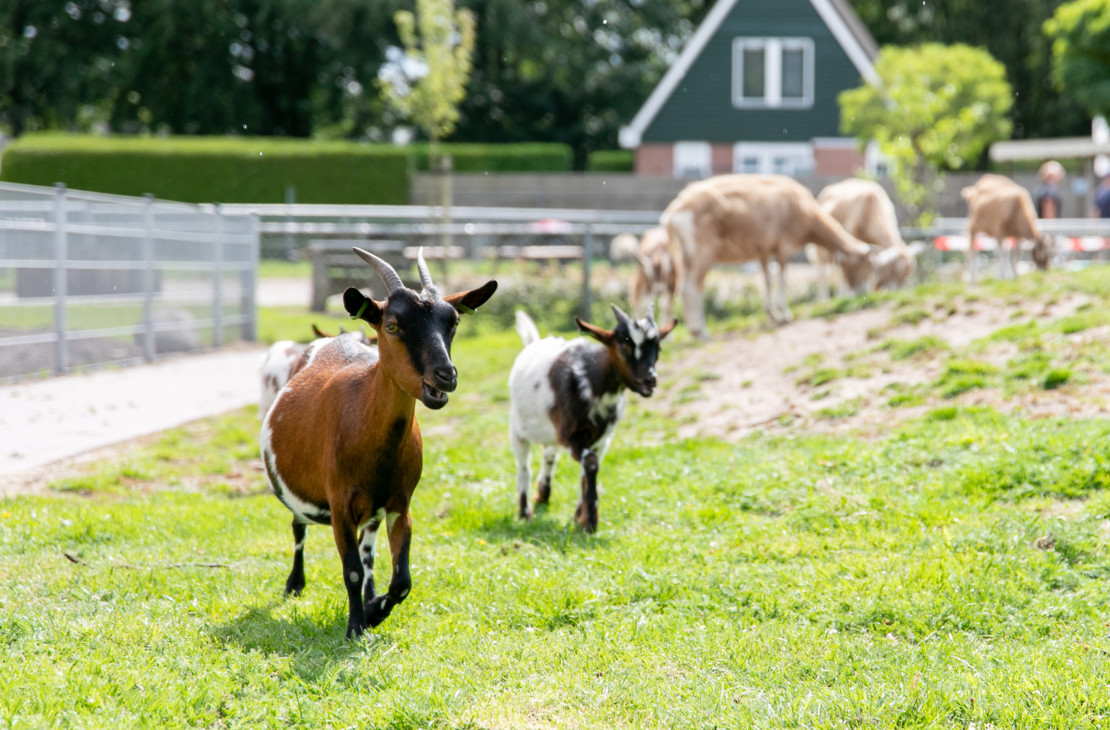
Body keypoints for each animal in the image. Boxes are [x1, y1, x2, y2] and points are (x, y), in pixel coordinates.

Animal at [259, 247, 495, 634]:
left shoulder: (400, 503)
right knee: (298, 525)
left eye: (454, 323)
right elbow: (351, 570)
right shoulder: (340, 503)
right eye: (393, 326)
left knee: (368, 549)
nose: (445, 375)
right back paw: (295, 584)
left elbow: (401, 580)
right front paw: (356, 626)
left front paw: (374, 611)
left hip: (372, 508)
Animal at [508, 301, 674, 528]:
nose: (650, 380)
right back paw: (525, 513)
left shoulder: (602, 440)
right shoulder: (571, 436)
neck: (591, 383)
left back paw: (543, 494)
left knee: (549, 455)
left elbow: (585, 473)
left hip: (551, 430)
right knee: (523, 467)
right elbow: (591, 464)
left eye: (658, 347)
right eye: (624, 344)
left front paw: (580, 516)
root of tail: (534, 343)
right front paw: (590, 520)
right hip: (518, 431)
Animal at [657, 173, 874, 332]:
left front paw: (772, 314)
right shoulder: (784, 247)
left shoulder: (764, 251)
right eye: (865, 266)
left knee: (683, 288)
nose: (862, 294)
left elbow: (768, 279)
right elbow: (782, 277)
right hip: (701, 253)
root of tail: (671, 216)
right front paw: (785, 314)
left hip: (684, 256)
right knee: (691, 288)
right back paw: (701, 331)